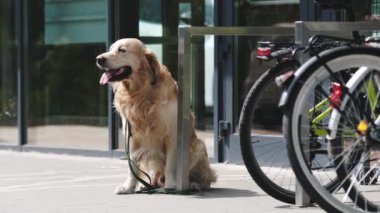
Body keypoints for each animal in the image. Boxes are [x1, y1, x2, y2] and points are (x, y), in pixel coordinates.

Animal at [95, 37, 217, 194]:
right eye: (110, 49)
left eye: (122, 50)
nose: (99, 59)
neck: (140, 91)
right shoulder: (131, 134)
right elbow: (132, 166)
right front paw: (128, 186)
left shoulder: (172, 133)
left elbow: (171, 165)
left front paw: (171, 185)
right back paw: (147, 184)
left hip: (199, 146)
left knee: (204, 180)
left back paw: (191, 184)